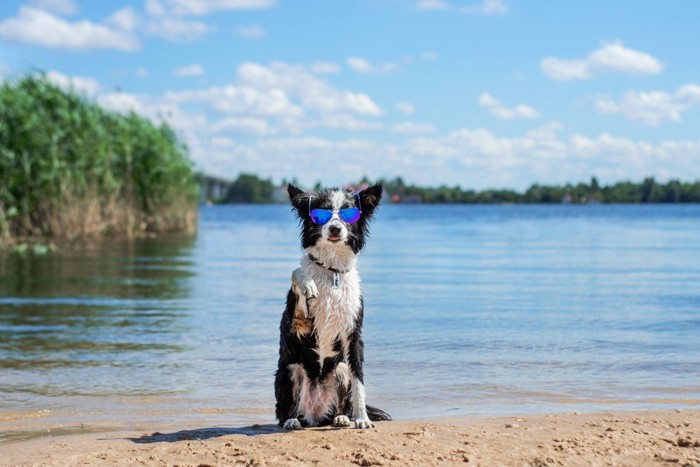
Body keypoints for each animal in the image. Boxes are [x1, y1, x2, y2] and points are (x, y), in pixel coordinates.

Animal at [274, 183, 394, 432]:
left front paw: (362, 418)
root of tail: (315, 416)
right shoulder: (299, 323)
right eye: (323, 213)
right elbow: (297, 272)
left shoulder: (353, 334)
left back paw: (342, 417)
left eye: (348, 213)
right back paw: (292, 420)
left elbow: (359, 382)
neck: (332, 272)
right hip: (291, 370)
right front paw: (308, 283)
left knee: (339, 406)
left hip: (340, 369)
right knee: (285, 411)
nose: (336, 228)